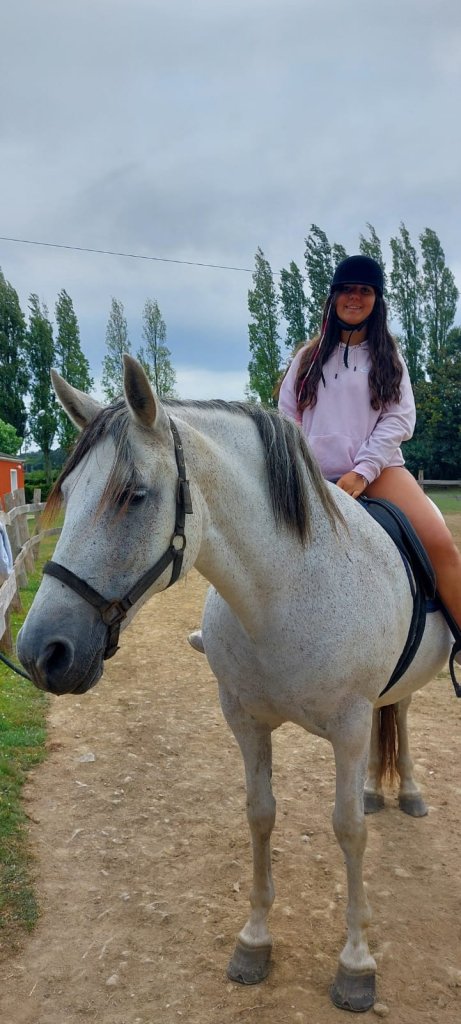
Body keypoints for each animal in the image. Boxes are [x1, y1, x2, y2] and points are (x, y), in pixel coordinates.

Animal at [17, 355, 451, 1013]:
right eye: (68, 495)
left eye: (133, 496)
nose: (42, 653)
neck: (288, 591)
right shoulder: (244, 721)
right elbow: (259, 815)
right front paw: (254, 941)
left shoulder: (349, 728)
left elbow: (348, 830)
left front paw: (355, 963)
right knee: (393, 711)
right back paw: (382, 789)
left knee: (399, 714)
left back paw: (411, 793)